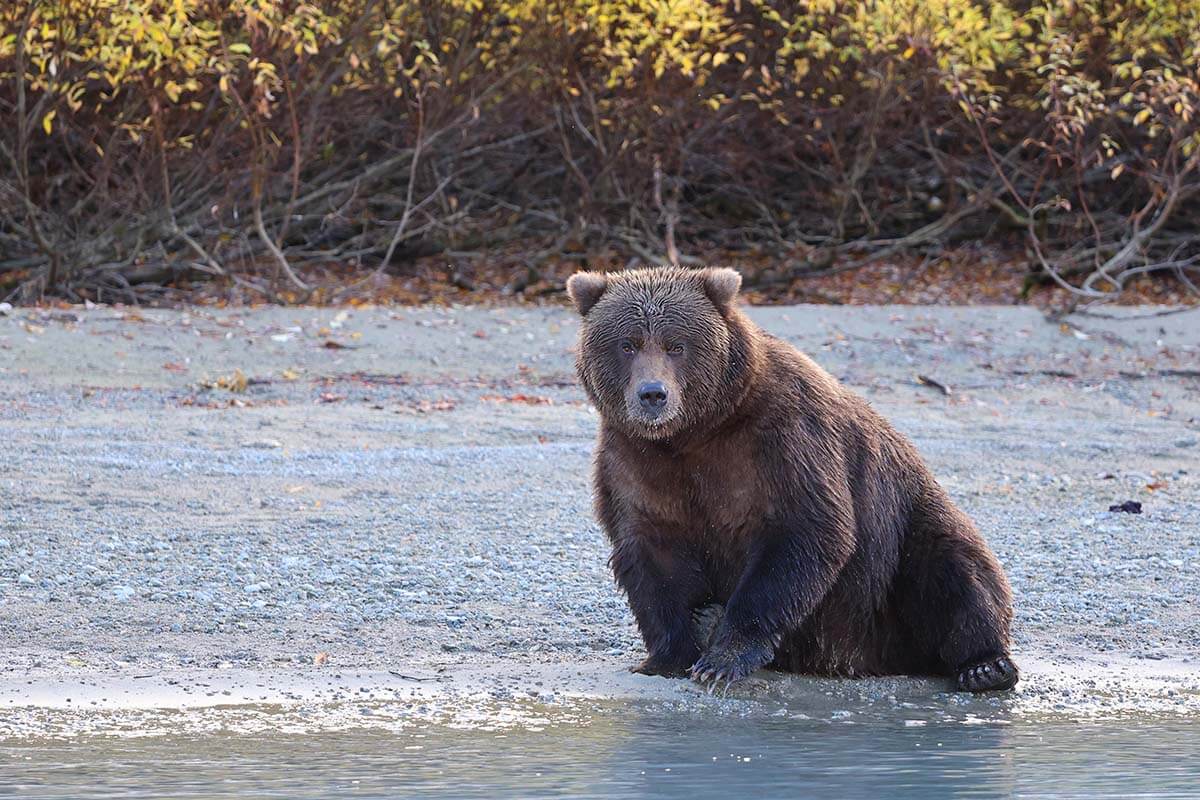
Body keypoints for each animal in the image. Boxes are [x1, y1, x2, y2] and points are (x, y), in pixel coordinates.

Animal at [566, 266, 1017, 690]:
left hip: (899, 538)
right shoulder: (634, 462)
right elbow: (651, 553)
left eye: (677, 345)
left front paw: (722, 660)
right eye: (627, 343)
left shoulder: (784, 439)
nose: (653, 394)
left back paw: (985, 666)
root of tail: (867, 659)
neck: (695, 433)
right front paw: (668, 656)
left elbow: (805, 531)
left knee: (952, 567)